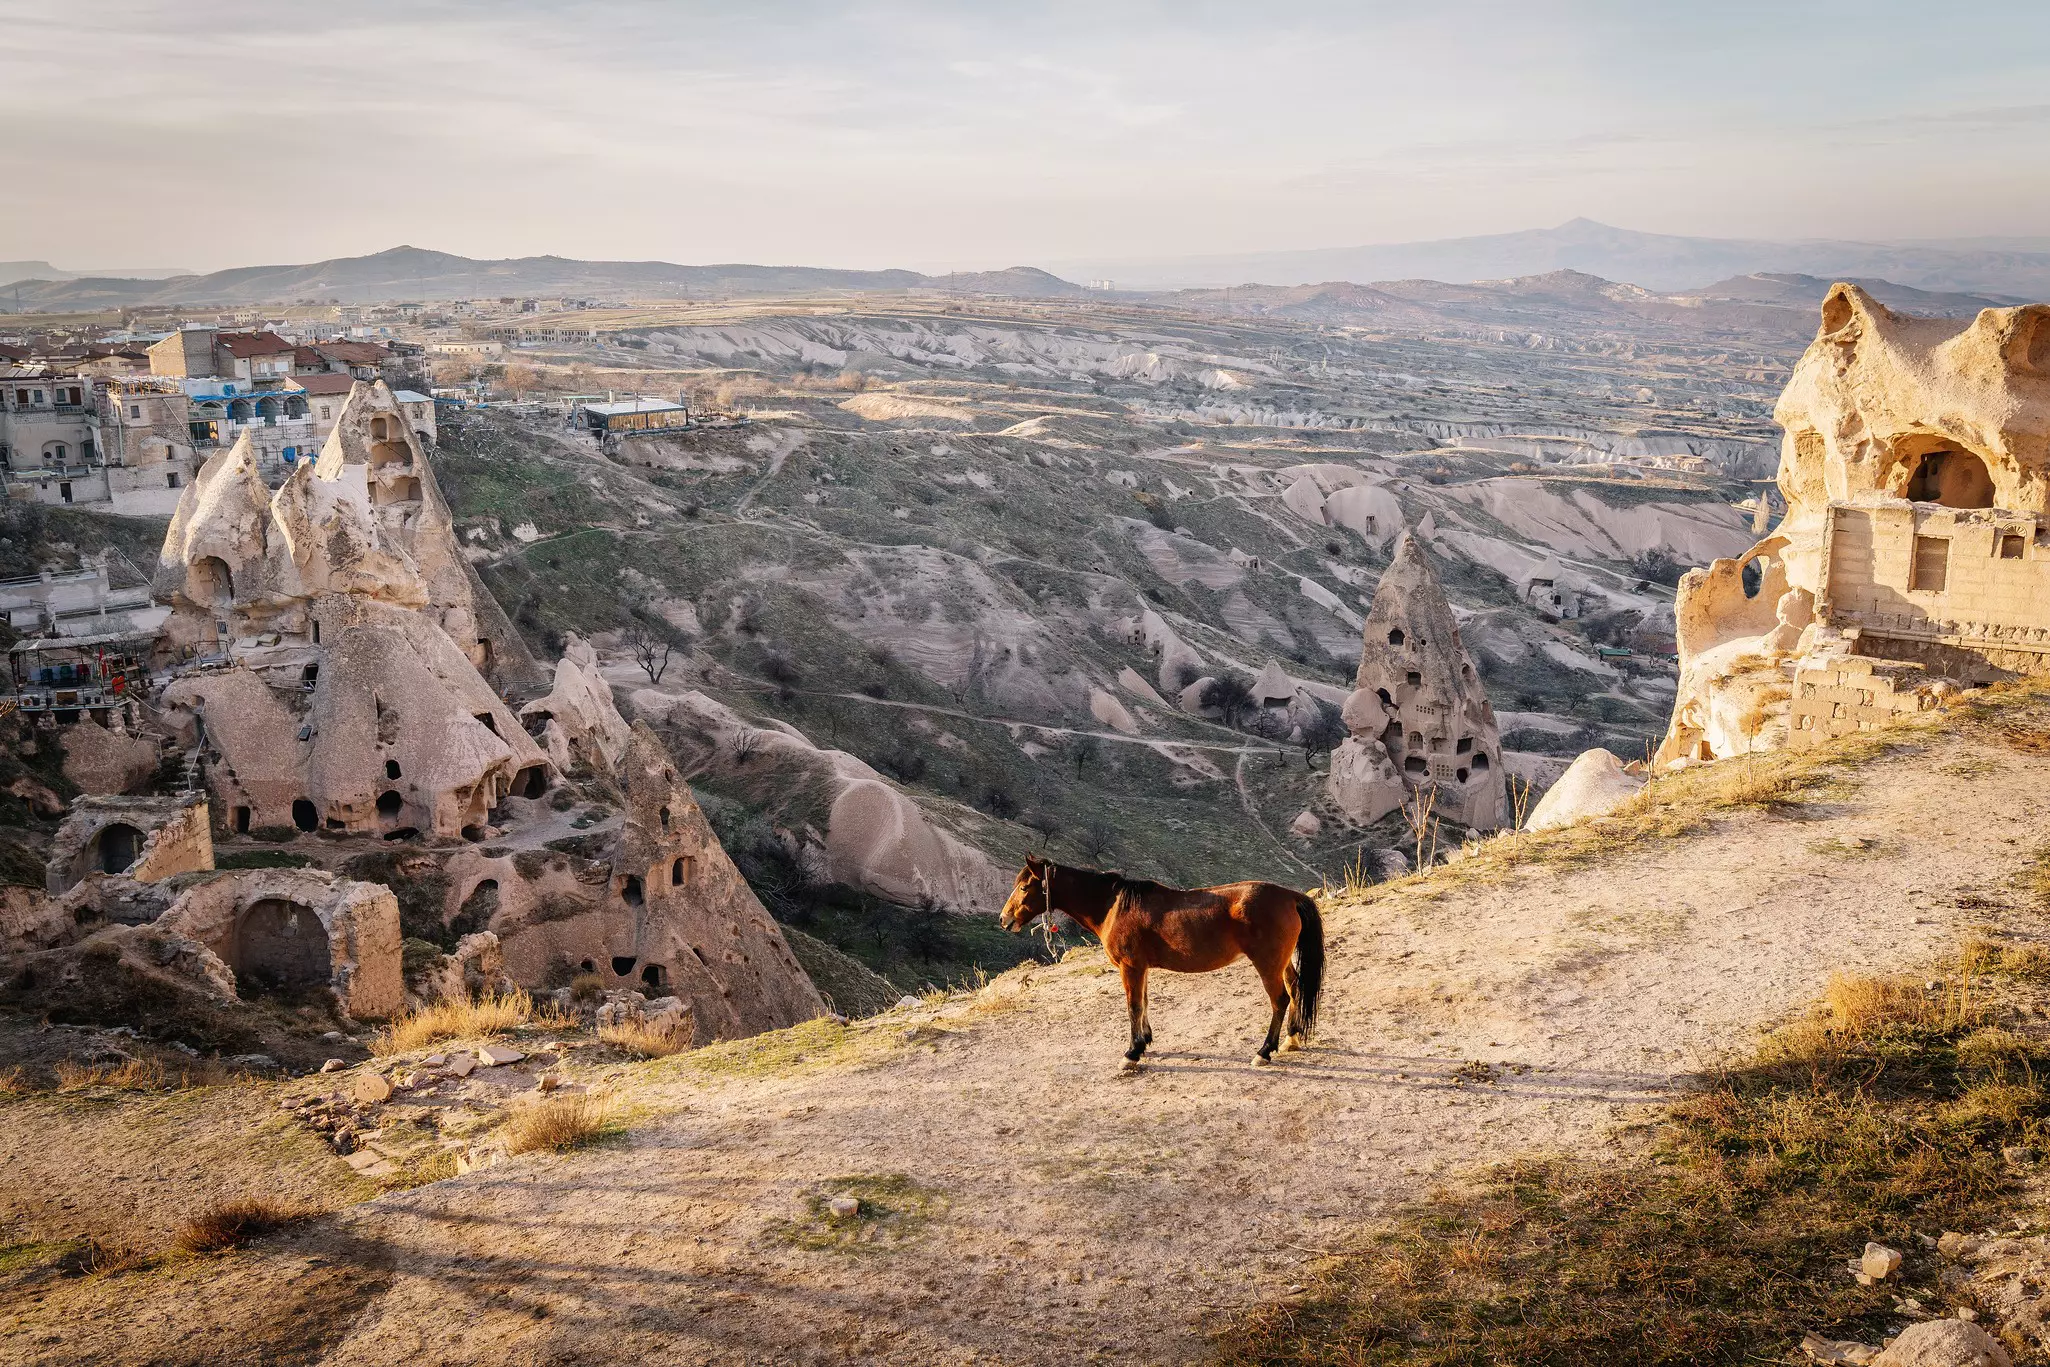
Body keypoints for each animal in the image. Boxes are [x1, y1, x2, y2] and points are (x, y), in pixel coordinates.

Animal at [1000, 855, 1324, 1067]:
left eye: (1025, 887)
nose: (1004, 919)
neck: (1113, 906)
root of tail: (1289, 896)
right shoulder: (1140, 968)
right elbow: (1144, 1002)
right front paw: (1144, 1042)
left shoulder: (1130, 967)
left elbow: (1133, 1005)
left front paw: (1132, 1053)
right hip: (1282, 962)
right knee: (1294, 989)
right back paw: (1291, 1039)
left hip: (1267, 964)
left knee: (1280, 1000)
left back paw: (1264, 1051)